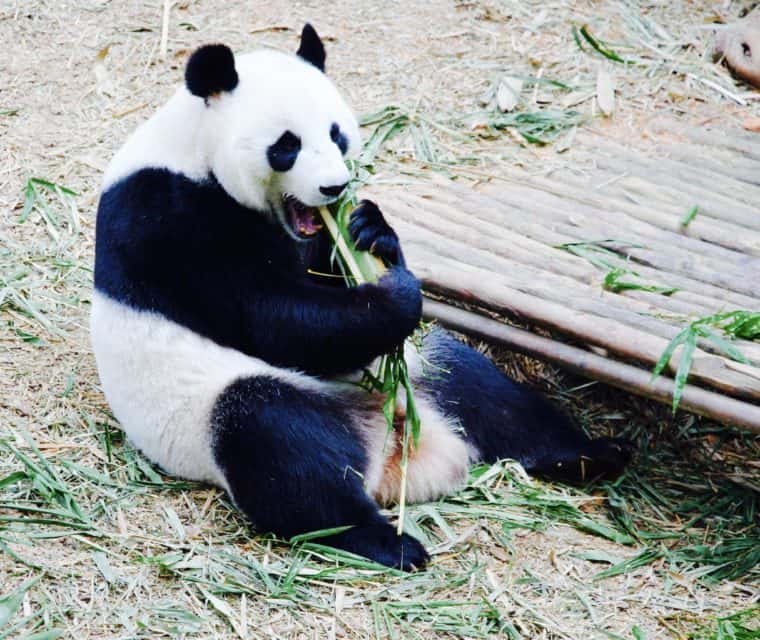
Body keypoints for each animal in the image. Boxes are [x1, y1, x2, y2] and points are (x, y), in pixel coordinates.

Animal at [90, 25, 636, 572]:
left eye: (336, 133)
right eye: (286, 145)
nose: (335, 187)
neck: (194, 147)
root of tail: (392, 449)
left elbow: (333, 276)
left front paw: (374, 233)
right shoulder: (168, 220)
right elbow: (271, 317)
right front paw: (396, 297)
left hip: (423, 368)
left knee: (486, 391)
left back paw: (594, 455)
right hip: (210, 409)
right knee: (278, 444)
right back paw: (388, 541)